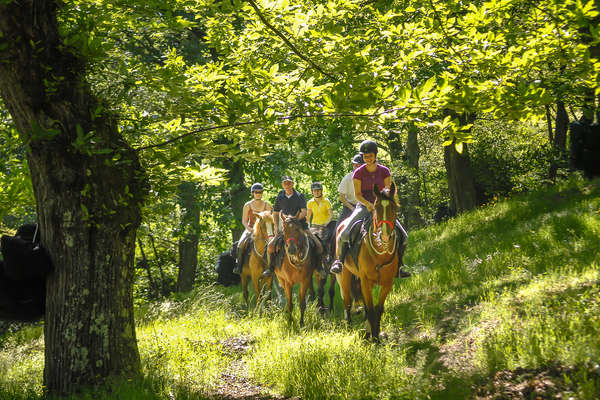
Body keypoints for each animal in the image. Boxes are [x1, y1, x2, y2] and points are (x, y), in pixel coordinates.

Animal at [336, 184, 400, 340]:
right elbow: (370, 309)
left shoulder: (387, 283)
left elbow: (378, 309)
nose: (384, 236)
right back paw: (349, 328)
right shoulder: (366, 281)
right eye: (376, 207)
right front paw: (375, 340)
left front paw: (375, 334)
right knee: (347, 302)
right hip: (344, 276)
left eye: (394, 208)